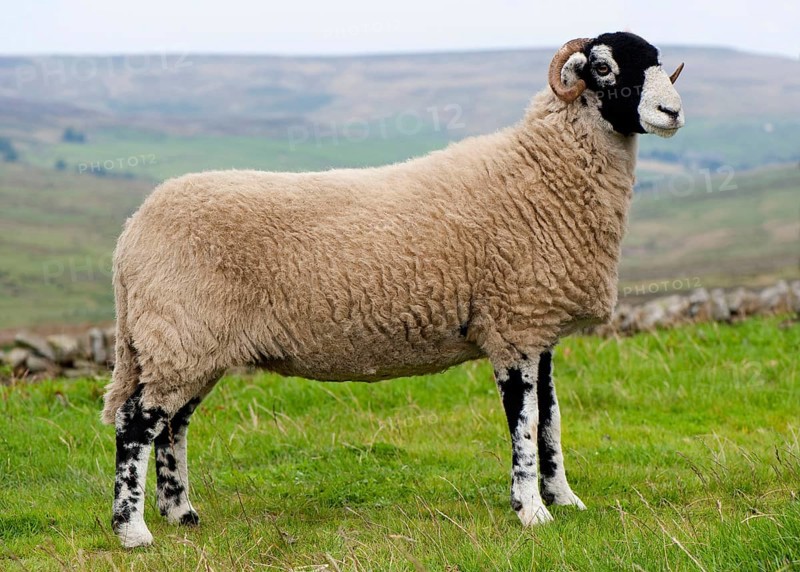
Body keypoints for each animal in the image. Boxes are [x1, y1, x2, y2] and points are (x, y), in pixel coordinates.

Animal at [102, 31, 685, 547]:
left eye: (659, 62)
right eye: (604, 67)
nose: (673, 113)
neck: (542, 171)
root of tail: (130, 236)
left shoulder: (539, 330)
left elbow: (551, 421)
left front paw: (564, 499)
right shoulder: (513, 326)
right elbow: (525, 422)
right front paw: (530, 512)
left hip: (190, 344)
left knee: (173, 426)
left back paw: (181, 513)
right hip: (179, 332)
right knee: (136, 423)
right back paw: (133, 531)